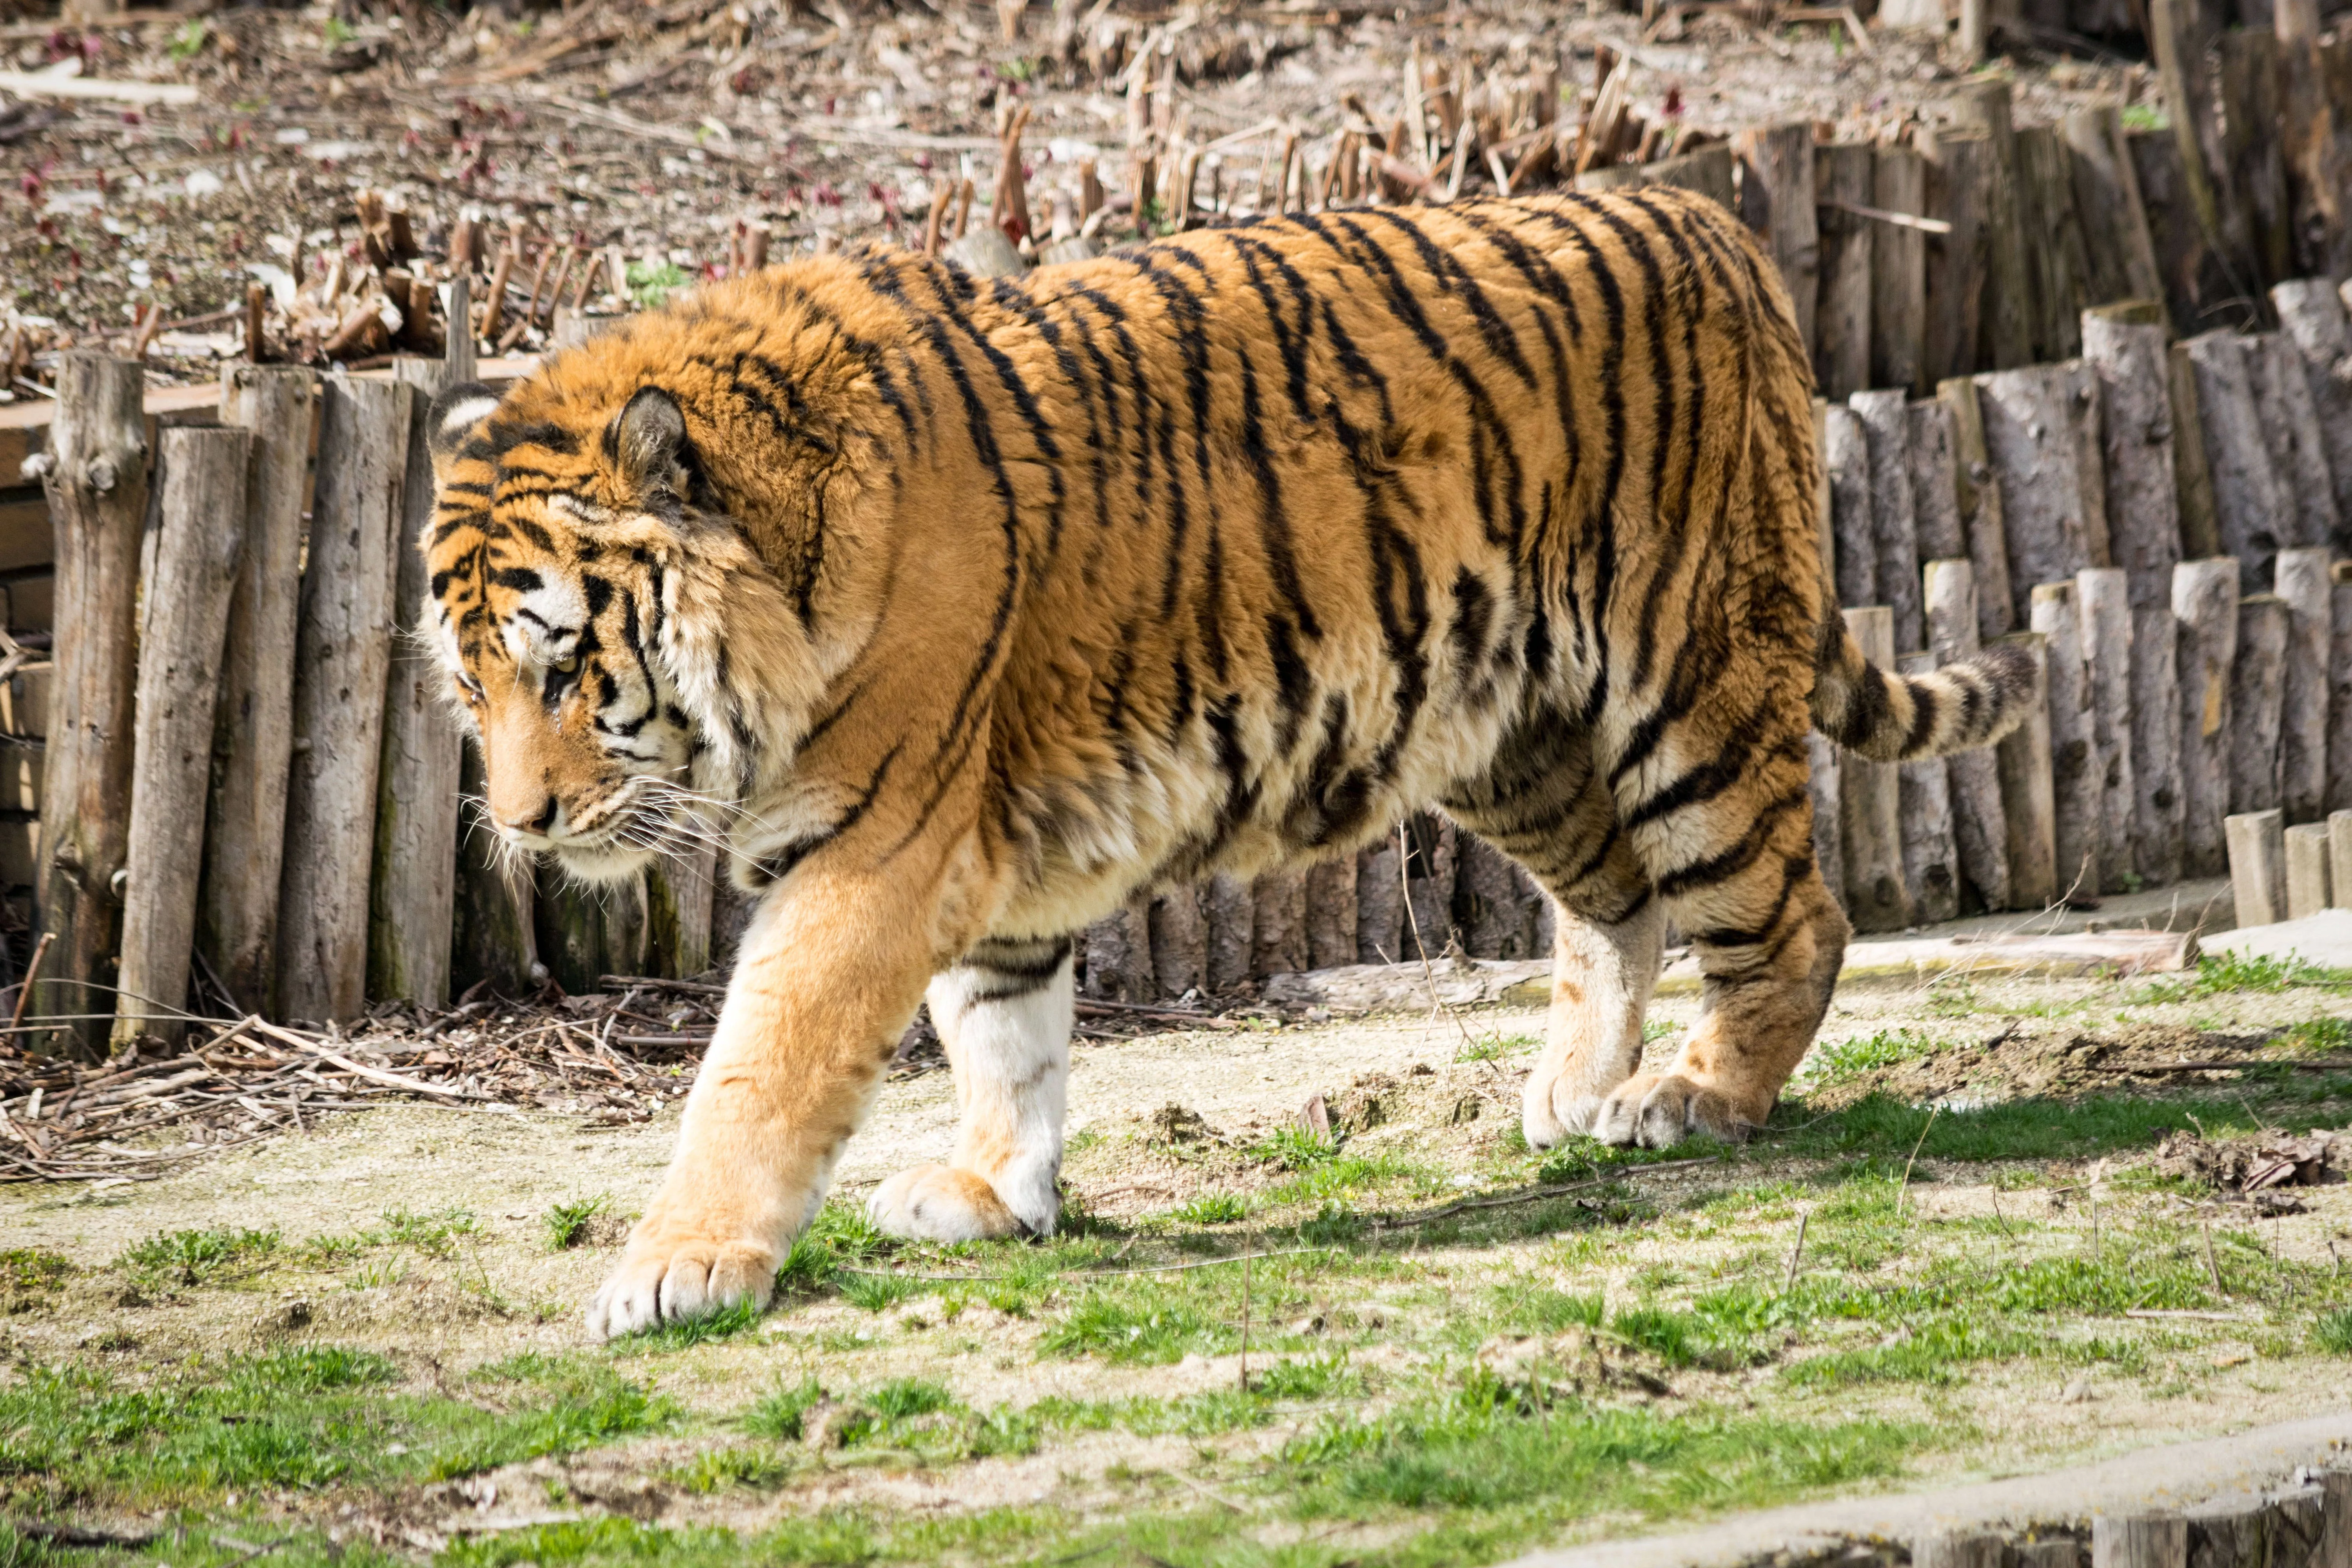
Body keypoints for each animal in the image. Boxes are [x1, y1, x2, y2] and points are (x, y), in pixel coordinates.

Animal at [419, 186, 2035, 1338]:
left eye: (563, 665)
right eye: (472, 680)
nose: (523, 822)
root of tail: (1724, 228)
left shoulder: (876, 849)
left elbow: (762, 1070)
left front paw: (676, 1270)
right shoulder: (973, 860)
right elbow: (1004, 1034)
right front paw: (996, 1194)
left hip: (1688, 683)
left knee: (1792, 916)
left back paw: (1691, 1098)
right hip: (1507, 733)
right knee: (1619, 903)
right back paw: (1577, 1093)